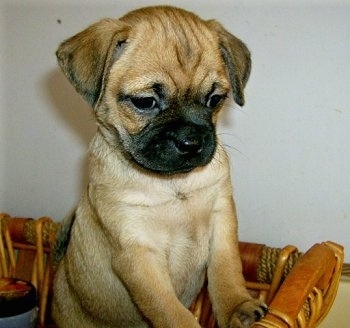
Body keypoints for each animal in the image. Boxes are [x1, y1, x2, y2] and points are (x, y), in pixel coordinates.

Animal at [51, 5, 266, 328]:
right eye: (145, 102)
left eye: (215, 99)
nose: (191, 142)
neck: (172, 183)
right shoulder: (138, 253)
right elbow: (169, 311)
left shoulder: (222, 220)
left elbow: (226, 271)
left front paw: (237, 307)